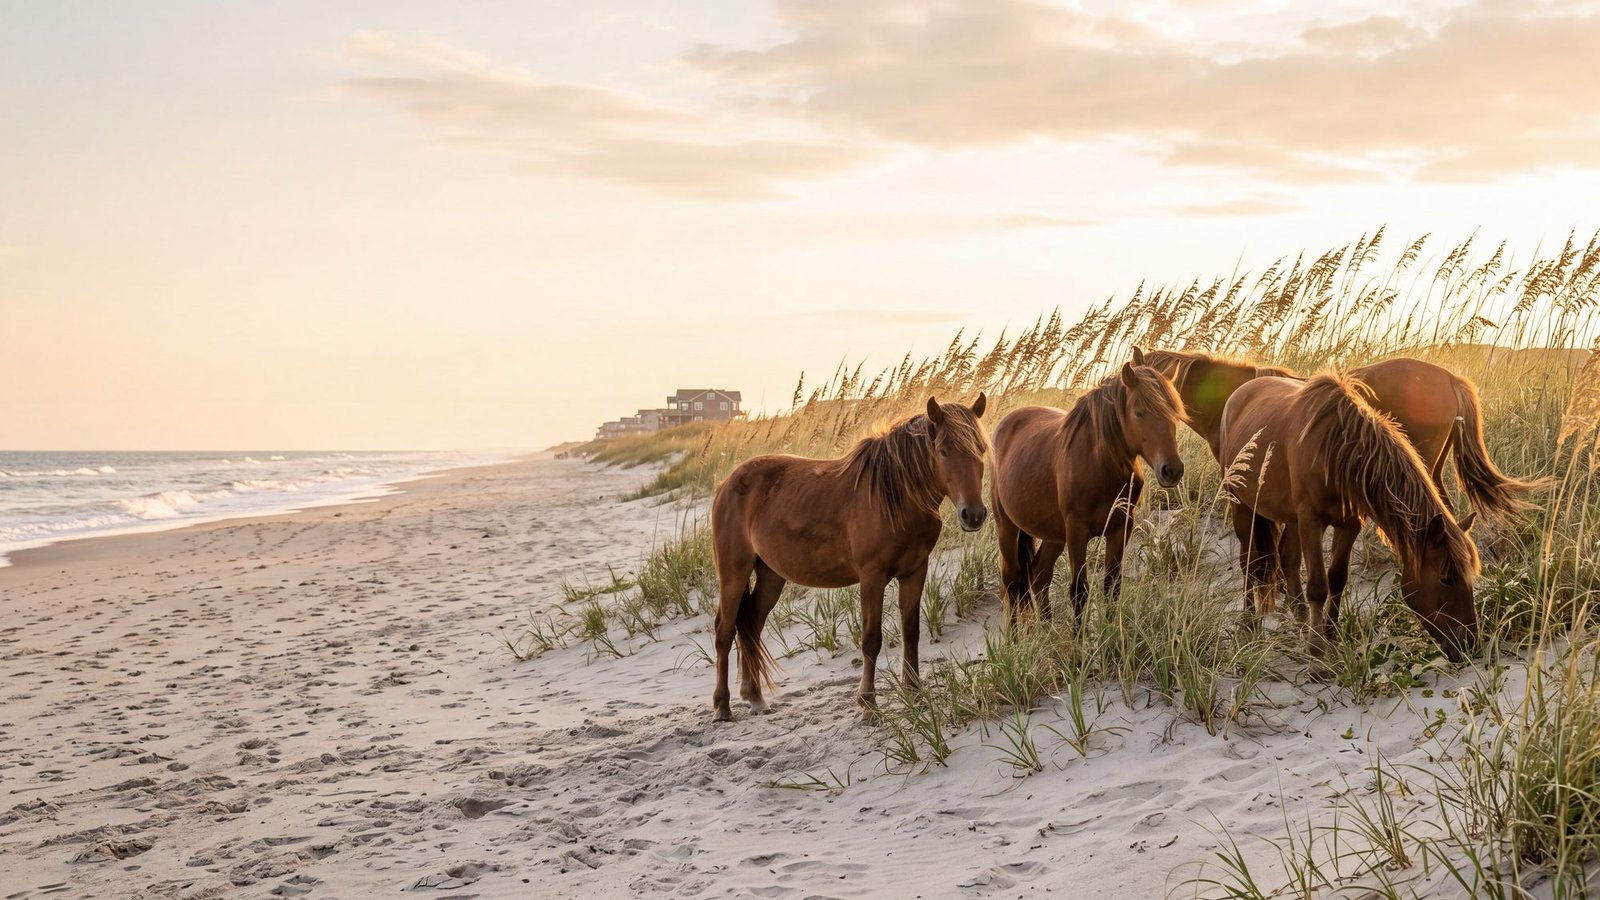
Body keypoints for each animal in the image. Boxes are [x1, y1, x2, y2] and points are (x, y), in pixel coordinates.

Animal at [708, 395, 989, 722]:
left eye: (980, 449)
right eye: (943, 452)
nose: (973, 514)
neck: (894, 497)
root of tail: (727, 483)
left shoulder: (915, 571)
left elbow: (911, 631)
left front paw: (914, 692)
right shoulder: (872, 577)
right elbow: (871, 639)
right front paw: (868, 703)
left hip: (771, 575)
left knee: (751, 623)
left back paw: (755, 697)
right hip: (733, 573)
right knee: (724, 631)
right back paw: (722, 706)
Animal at [989, 348, 1186, 624]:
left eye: (1174, 413)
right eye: (1139, 413)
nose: (1172, 470)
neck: (1098, 463)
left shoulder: (1120, 527)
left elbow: (1112, 585)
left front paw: (1109, 630)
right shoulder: (1077, 531)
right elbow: (1079, 590)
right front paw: (1080, 635)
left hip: (1053, 534)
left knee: (1039, 576)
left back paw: (1048, 629)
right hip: (1008, 528)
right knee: (1012, 582)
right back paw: (1016, 634)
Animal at [1219, 371, 1480, 658]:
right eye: (1446, 579)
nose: (1469, 645)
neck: (1336, 451)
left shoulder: (1349, 523)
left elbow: (1337, 578)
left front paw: (1330, 633)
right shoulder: (1311, 520)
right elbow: (1318, 586)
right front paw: (1316, 647)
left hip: (1290, 517)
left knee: (1288, 559)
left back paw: (1300, 620)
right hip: (1242, 505)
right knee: (1250, 563)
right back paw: (1249, 623)